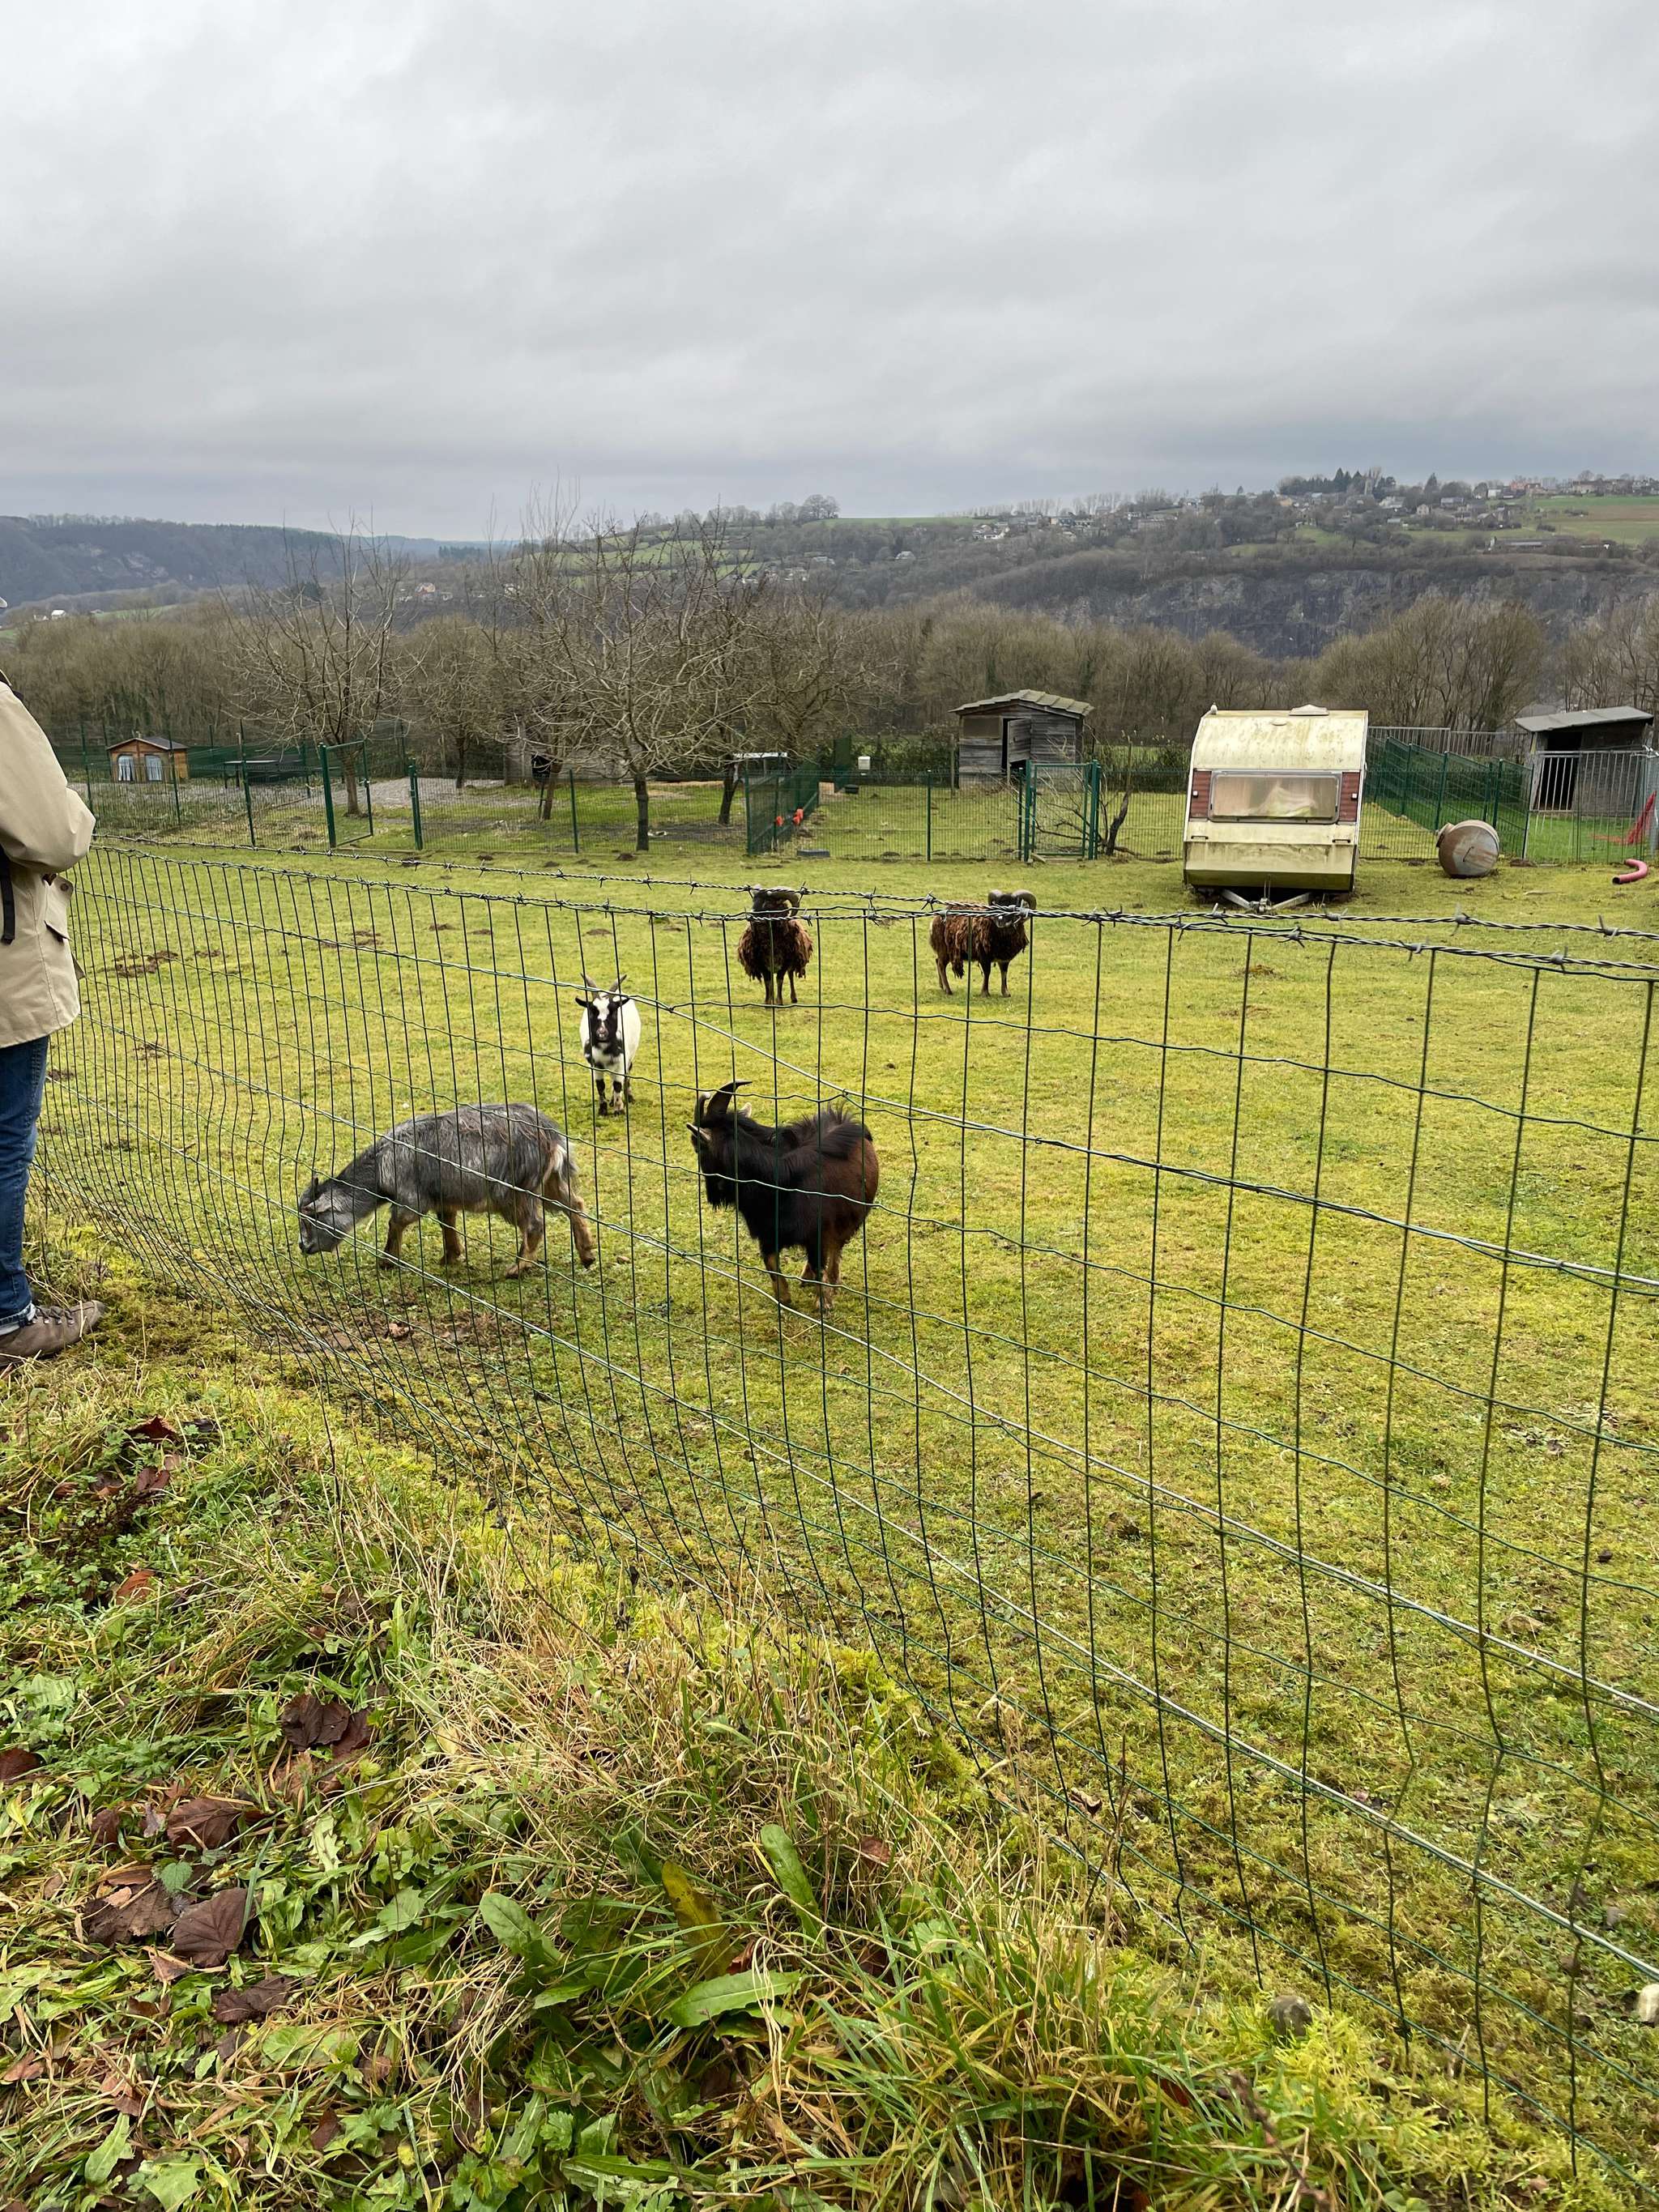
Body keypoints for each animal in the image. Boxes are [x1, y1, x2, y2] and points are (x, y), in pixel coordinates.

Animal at [298, 1104, 596, 1279]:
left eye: (311, 1219)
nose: (303, 1246)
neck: (382, 1165)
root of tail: (550, 1137)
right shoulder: (443, 1198)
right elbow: (446, 1222)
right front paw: (451, 1256)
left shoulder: (411, 1199)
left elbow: (396, 1222)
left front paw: (387, 1261)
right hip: (550, 1183)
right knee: (576, 1205)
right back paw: (587, 1254)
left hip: (514, 1191)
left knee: (534, 1224)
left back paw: (517, 1268)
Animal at [576, 977, 642, 1116]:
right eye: (592, 1012)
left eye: (613, 1012)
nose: (602, 1033)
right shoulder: (595, 1065)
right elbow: (600, 1086)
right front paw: (603, 1110)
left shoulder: (621, 1062)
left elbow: (618, 1084)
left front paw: (619, 1110)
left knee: (626, 1074)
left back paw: (628, 1098)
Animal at [686, 1080, 878, 1314]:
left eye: (698, 1147)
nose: (713, 1196)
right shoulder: (767, 1233)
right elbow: (772, 1265)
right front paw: (785, 1299)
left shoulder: (819, 1232)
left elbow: (820, 1262)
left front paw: (823, 1304)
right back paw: (807, 1278)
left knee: (836, 1248)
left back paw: (831, 1280)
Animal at [737, 886, 813, 1005]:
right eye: (754, 900)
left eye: (768, 902)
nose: (750, 916)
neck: (771, 942)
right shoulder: (761, 963)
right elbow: (768, 982)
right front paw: (768, 1003)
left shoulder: (786, 962)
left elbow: (780, 980)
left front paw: (779, 1002)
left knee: (790, 975)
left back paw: (793, 998)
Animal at [929, 888, 1038, 996]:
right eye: (997, 905)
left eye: (1013, 906)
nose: (1000, 922)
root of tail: (934, 920)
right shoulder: (984, 956)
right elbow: (987, 972)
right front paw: (985, 992)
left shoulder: (1004, 958)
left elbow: (1004, 973)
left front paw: (1006, 993)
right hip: (944, 949)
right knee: (941, 965)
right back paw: (948, 990)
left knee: (937, 961)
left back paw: (942, 986)